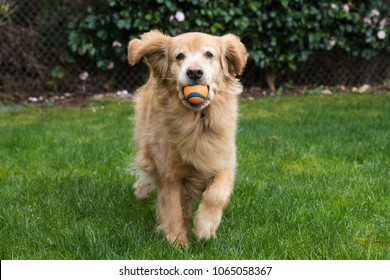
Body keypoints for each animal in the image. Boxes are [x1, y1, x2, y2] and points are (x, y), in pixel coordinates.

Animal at [127, 29, 247, 246]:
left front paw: (205, 227)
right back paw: (142, 189)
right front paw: (177, 241)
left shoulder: (224, 161)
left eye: (209, 54)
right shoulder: (169, 174)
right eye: (179, 56)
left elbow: (216, 194)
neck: (197, 123)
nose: (194, 72)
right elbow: (172, 208)